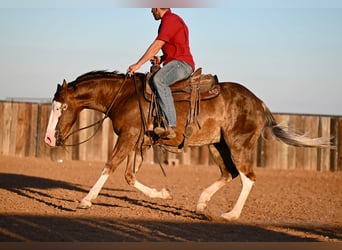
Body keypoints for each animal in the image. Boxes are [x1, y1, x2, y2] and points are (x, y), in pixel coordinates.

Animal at [43, 69, 332, 220]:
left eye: (62, 107)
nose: (48, 138)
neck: (123, 96)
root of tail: (259, 102)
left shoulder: (128, 137)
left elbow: (110, 166)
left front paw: (85, 200)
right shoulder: (139, 142)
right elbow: (129, 176)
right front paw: (164, 194)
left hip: (238, 145)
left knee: (248, 177)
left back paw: (230, 214)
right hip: (217, 145)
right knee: (229, 173)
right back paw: (202, 205)